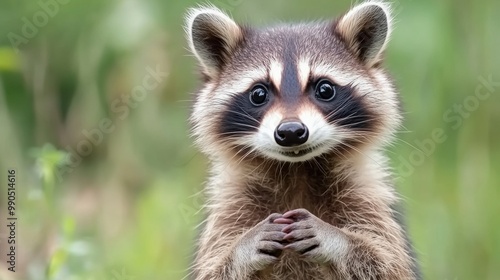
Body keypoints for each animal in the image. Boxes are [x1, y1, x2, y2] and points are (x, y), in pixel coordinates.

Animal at [186, 1, 420, 278]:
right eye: (258, 94)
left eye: (325, 89)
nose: (290, 132)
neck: (297, 170)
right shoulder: (231, 204)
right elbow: (213, 268)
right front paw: (243, 248)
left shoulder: (367, 196)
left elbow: (388, 263)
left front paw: (335, 239)